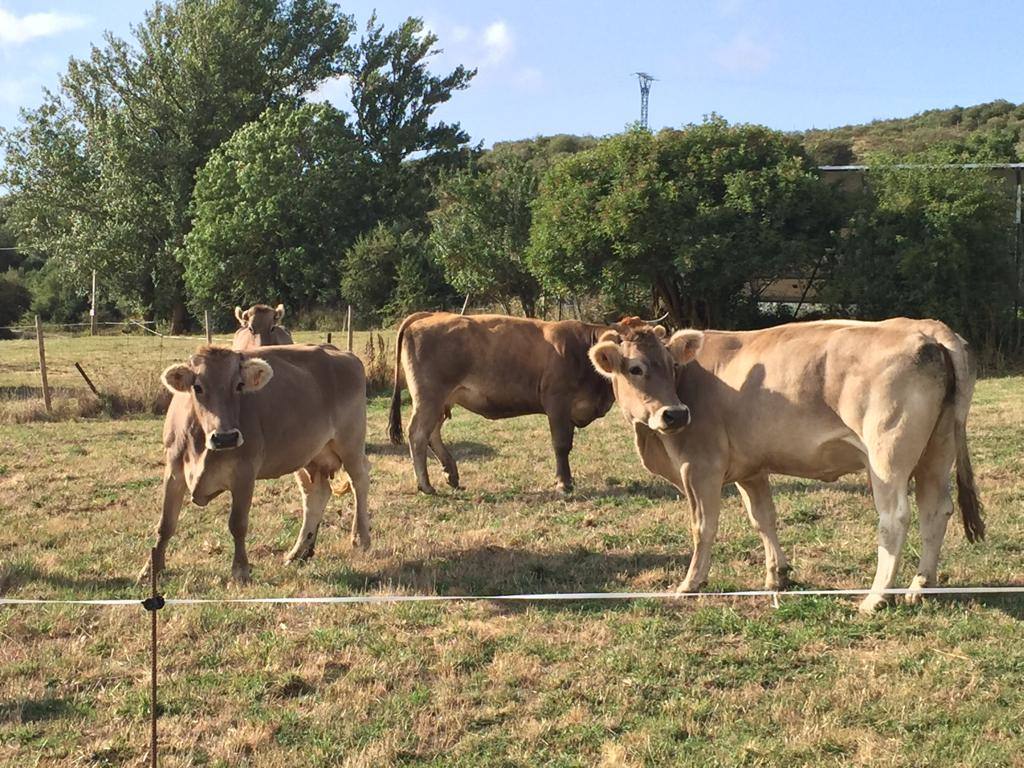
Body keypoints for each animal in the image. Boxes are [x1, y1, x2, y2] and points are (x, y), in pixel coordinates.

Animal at [140, 344, 370, 581]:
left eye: (239, 385)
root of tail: (337, 351)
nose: (225, 437)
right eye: (197, 386)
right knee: (316, 494)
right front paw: (151, 570)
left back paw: (360, 539)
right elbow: (165, 524)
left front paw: (240, 571)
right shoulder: (174, 471)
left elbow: (238, 524)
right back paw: (299, 552)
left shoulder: (244, 474)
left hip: (351, 443)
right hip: (308, 455)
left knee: (360, 480)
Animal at [387, 313, 630, 499]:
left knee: (432, 433)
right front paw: (564, 483)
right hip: (429, 398)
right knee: (418, 434)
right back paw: (426, 485)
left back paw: (451, 475)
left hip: (441, 401)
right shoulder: (557, 403)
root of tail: (429, 316)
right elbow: (561, 445)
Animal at [589, 317, 987, 614]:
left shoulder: (699, 467)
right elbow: (763, 519)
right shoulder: (751, 470)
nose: (675, 414)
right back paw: (921, 585)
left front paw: (691, 583)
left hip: (887, 455)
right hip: (936, 452)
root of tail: (928, 328)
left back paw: (876, 598)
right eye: (636, 368)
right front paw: (776, 576)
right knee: (935, 510)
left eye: (672, 366)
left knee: (896, 518)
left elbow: (703, 527)